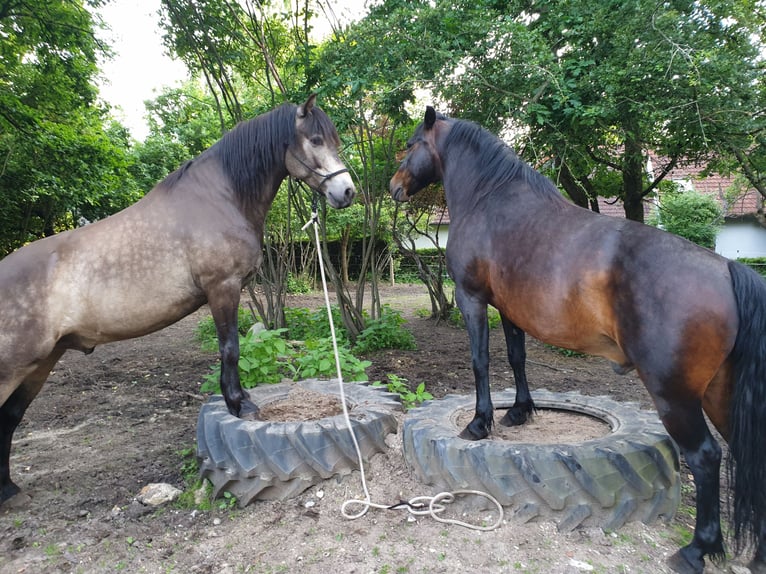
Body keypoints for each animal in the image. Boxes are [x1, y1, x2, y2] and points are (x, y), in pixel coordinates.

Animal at [0, 94, 355, 506]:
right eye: (315, 140)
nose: (346, 192)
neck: (220, 197)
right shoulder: (223, 287)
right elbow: (230, 348)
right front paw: (240, 403)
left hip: (42, 362)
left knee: (9, 417)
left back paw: (7, 489)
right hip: (14, 366)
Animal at [390, 106, 766, 574]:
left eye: (411, 144)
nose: (394, 187)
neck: (489, 199)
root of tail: (726, 271)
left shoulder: (471, 298)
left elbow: (480, 361)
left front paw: (479, 423)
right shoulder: (509, 309)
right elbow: (516, 358)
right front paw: (519, 412)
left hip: (675, 397)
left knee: (706, 456)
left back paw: (697, 550)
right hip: (720, 394)